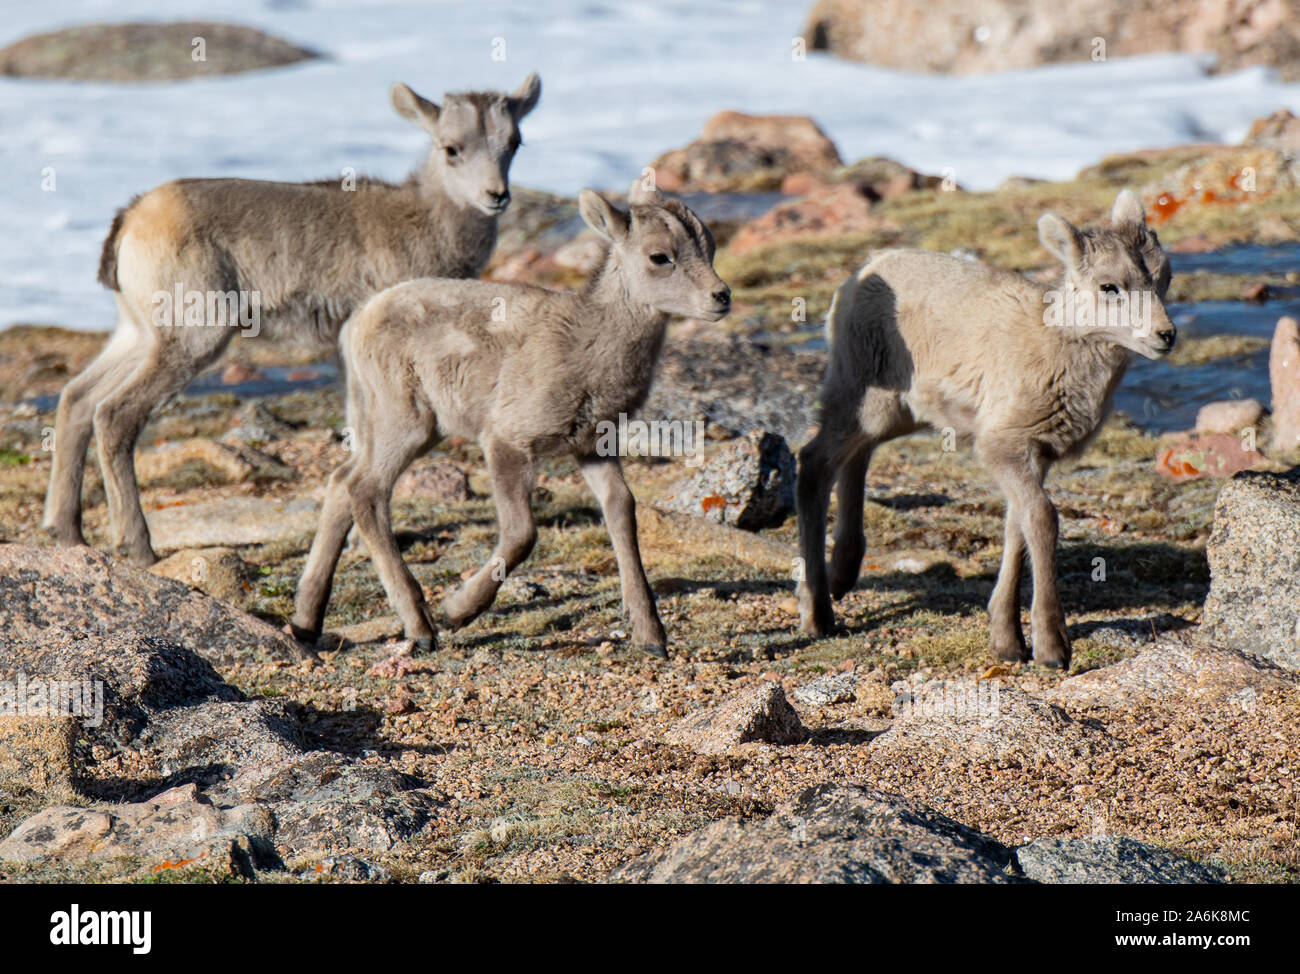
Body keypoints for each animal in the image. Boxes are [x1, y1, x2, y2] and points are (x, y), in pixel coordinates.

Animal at [43, 74, 542, 567]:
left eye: (514, 142)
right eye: (451, 148)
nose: (496, 196)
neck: (426, 223)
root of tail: (131, 219)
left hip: (138, 335)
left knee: (77, 399)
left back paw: (66, 532)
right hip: (193, 338)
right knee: (114, 414)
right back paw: (140, 548)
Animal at [290, 181, 731, 657]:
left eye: (710, 247)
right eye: (659, 256)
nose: (721, 297)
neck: (587, 346)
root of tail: (357, 324)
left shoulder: (592, 445)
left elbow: (621, 510)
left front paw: (651, 636)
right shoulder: (507, 440)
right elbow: (522, 533)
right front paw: (458, 611)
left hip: (407, 427)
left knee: (340, 482)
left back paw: (305, 623)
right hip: (405, 420)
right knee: (364, 490)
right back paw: (421, 627)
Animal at [795, 190, 1174, 669]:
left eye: (1163, 278)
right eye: (1110, 286)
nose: (1166, 336)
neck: (1055, 353)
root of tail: (859, 274)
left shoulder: (1034, 455)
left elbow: (1017, 527)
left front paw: (1007, 641)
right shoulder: (1003, 447)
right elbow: (1042, 520)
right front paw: (1052, 648)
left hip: (895, 412)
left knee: (856, 456)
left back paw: (842, 575)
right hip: (864, 396)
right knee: (814, 463)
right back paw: (817, 613)